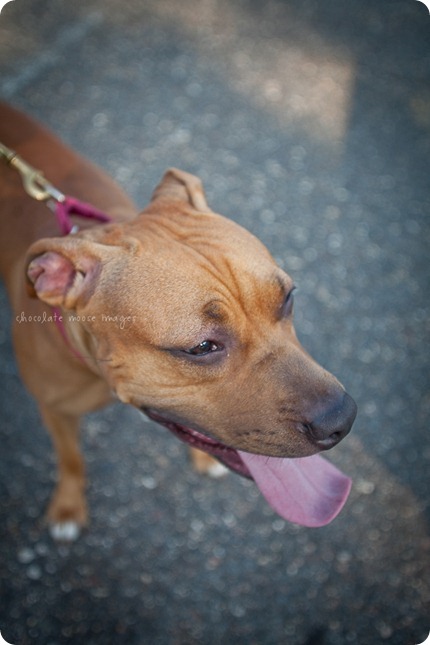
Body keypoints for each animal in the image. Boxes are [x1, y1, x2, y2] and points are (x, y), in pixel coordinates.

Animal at [0, 103, 356, 540]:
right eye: (201, 347)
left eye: (287, 298)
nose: (342, 419)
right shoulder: (54, 410)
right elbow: (70, 458)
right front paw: (68, 506)